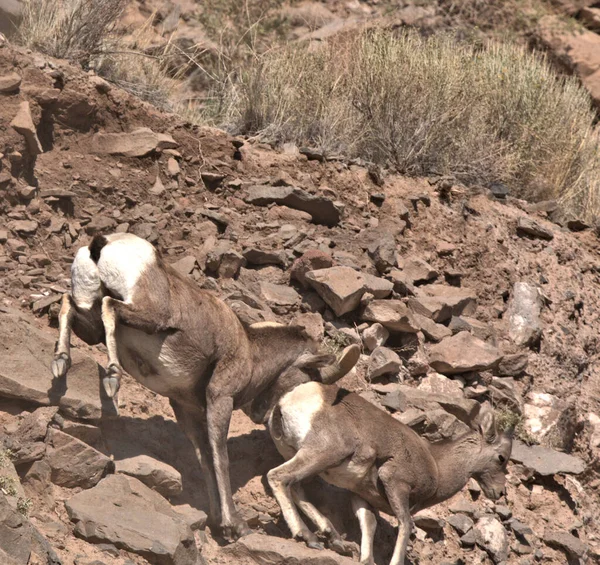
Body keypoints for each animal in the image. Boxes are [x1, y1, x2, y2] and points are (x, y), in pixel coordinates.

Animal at [50, 232, 356, 536]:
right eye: (308, 379)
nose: (270, 417)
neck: (249, 352)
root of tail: (102, 246)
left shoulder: (187, 410)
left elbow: (205, 459)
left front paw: (217, 521)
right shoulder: (220, 398)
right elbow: (220, 456)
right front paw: (235, 526)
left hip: (89, 320)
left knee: (70, 304)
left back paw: (60, 361)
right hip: (148, 315)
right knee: (109, 306)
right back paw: (112, 377)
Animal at [251, 360, 512, 560]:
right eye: (501, 458)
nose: (499, 492)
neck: (437, 467)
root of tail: (287, 402)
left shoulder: (363, 498)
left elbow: (369, 526)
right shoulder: (396, 485)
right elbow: (405, 526)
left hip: (301, 456)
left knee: (296, 488)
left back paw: (330, 537)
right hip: (324, 453)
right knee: (279, 477)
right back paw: (307, 536)